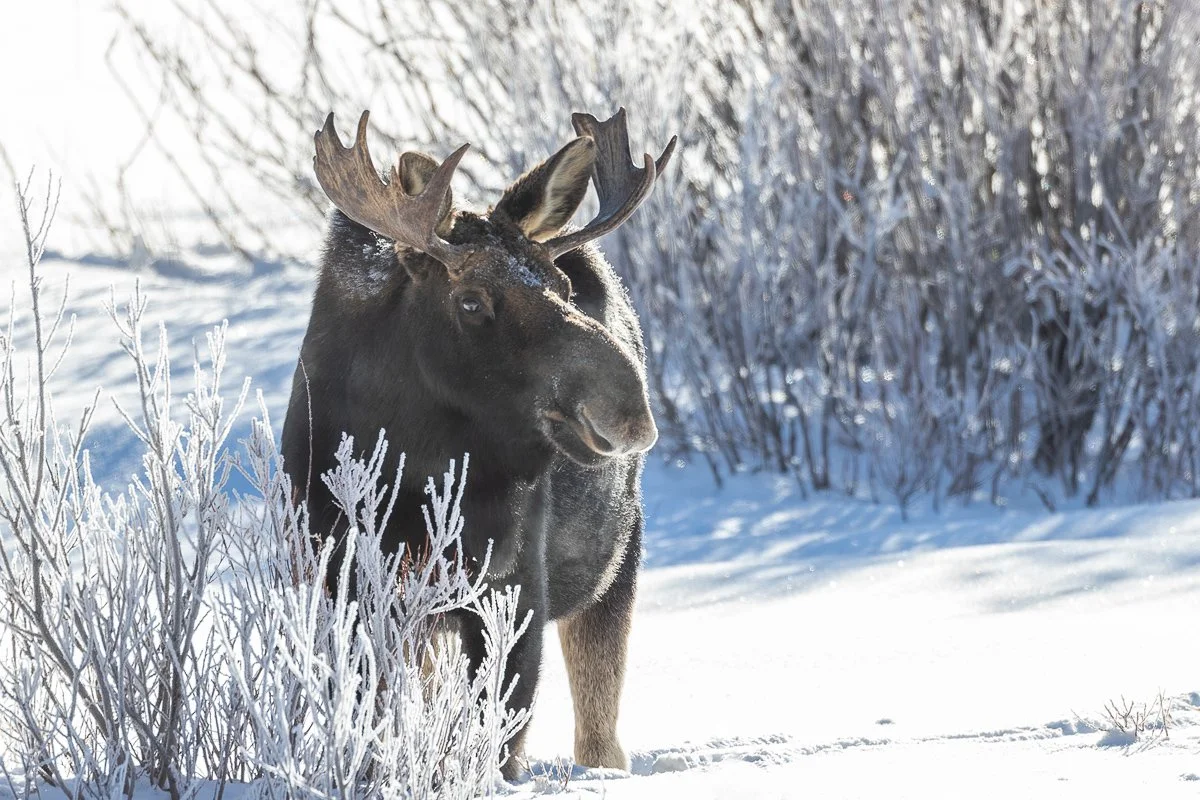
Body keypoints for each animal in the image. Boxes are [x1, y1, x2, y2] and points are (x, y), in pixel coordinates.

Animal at [281, 107, 675, 779]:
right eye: (469, 301)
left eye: (561, 287)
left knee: (599, 729)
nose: (628, 406)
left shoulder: (515, 592)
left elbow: (498, 742)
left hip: (614, 565)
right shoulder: (340, 582)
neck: (414, 467)